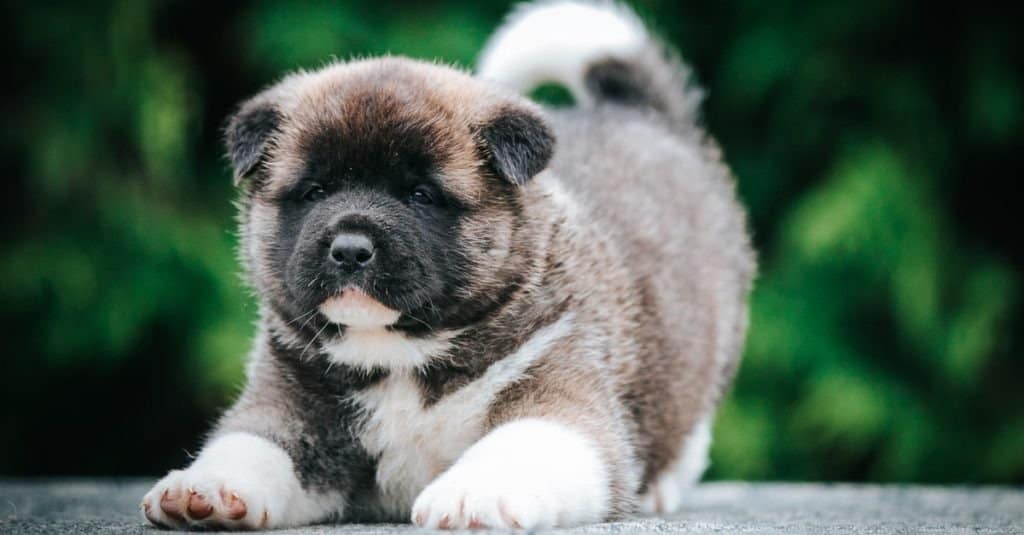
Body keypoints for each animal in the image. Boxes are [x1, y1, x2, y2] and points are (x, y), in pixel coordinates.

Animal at [142, 0, 753, 524]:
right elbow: (249, 444)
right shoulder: (290, 405)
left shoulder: (561, 390)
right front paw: (204, 487)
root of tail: (644, 114)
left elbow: (521, 443)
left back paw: (660, 485)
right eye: (314, 192)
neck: (399, 354)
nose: (350, 248)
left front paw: (474, 493)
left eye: (420, 195)